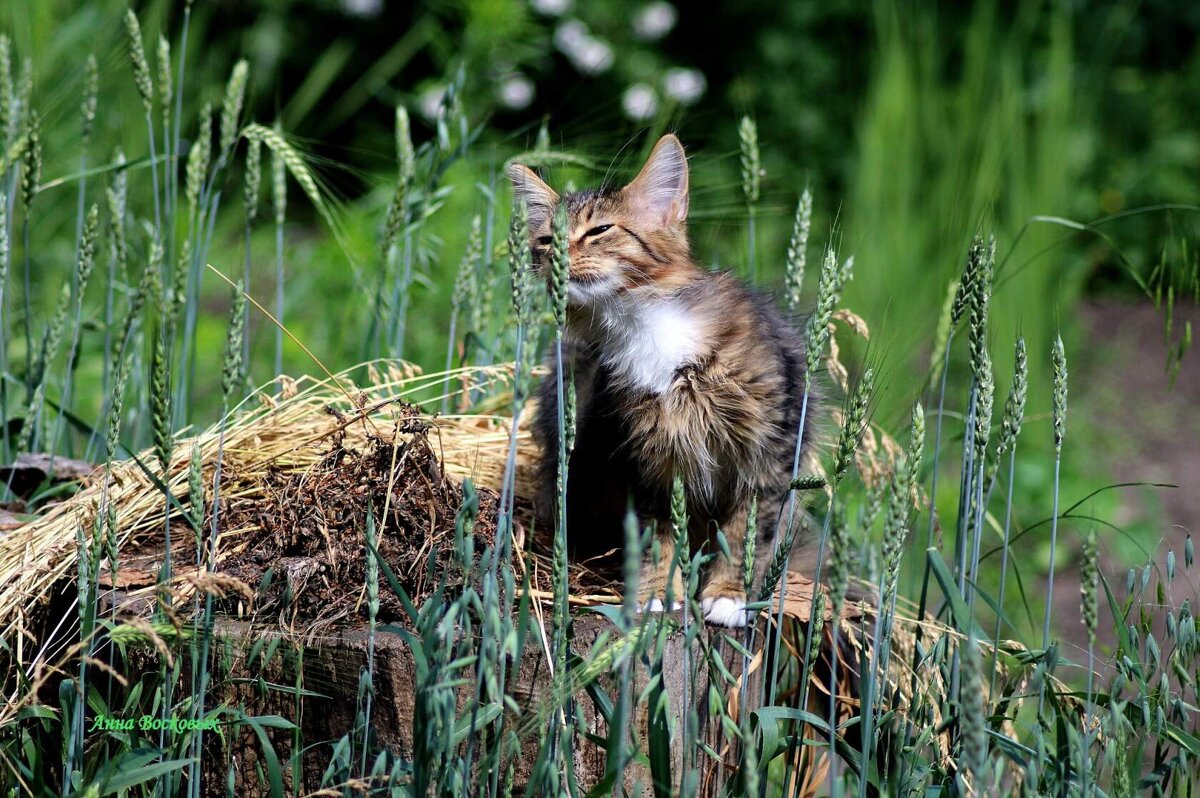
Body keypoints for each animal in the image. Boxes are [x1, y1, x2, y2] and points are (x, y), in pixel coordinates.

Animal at [506, 133, 816, 624]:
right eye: (545, 239)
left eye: (599, 230)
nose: (554, 257)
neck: (642, 325)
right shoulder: (647, 458)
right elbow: (659, 532)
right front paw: (659, 593)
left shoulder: (770, 453)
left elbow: (747, 532)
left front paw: (728, 595)